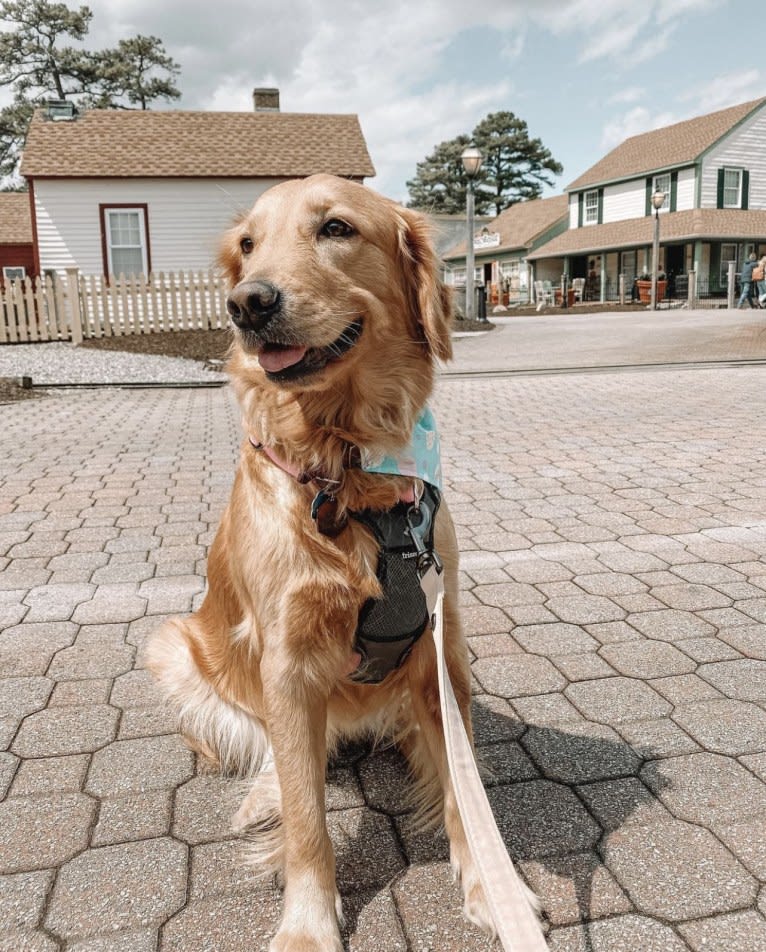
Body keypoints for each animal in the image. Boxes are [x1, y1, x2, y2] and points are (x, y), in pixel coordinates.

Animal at [146, 175, 498, 948]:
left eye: (335, 228)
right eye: (248, 245)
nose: (247, 302)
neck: (348, 470)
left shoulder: (441, 641)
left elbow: (464, 785)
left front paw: (494, 883)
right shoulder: (287, 661)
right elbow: (308, 815)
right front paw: (309, 923)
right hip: (172, 645)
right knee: (274, 757)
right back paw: (261, 798)